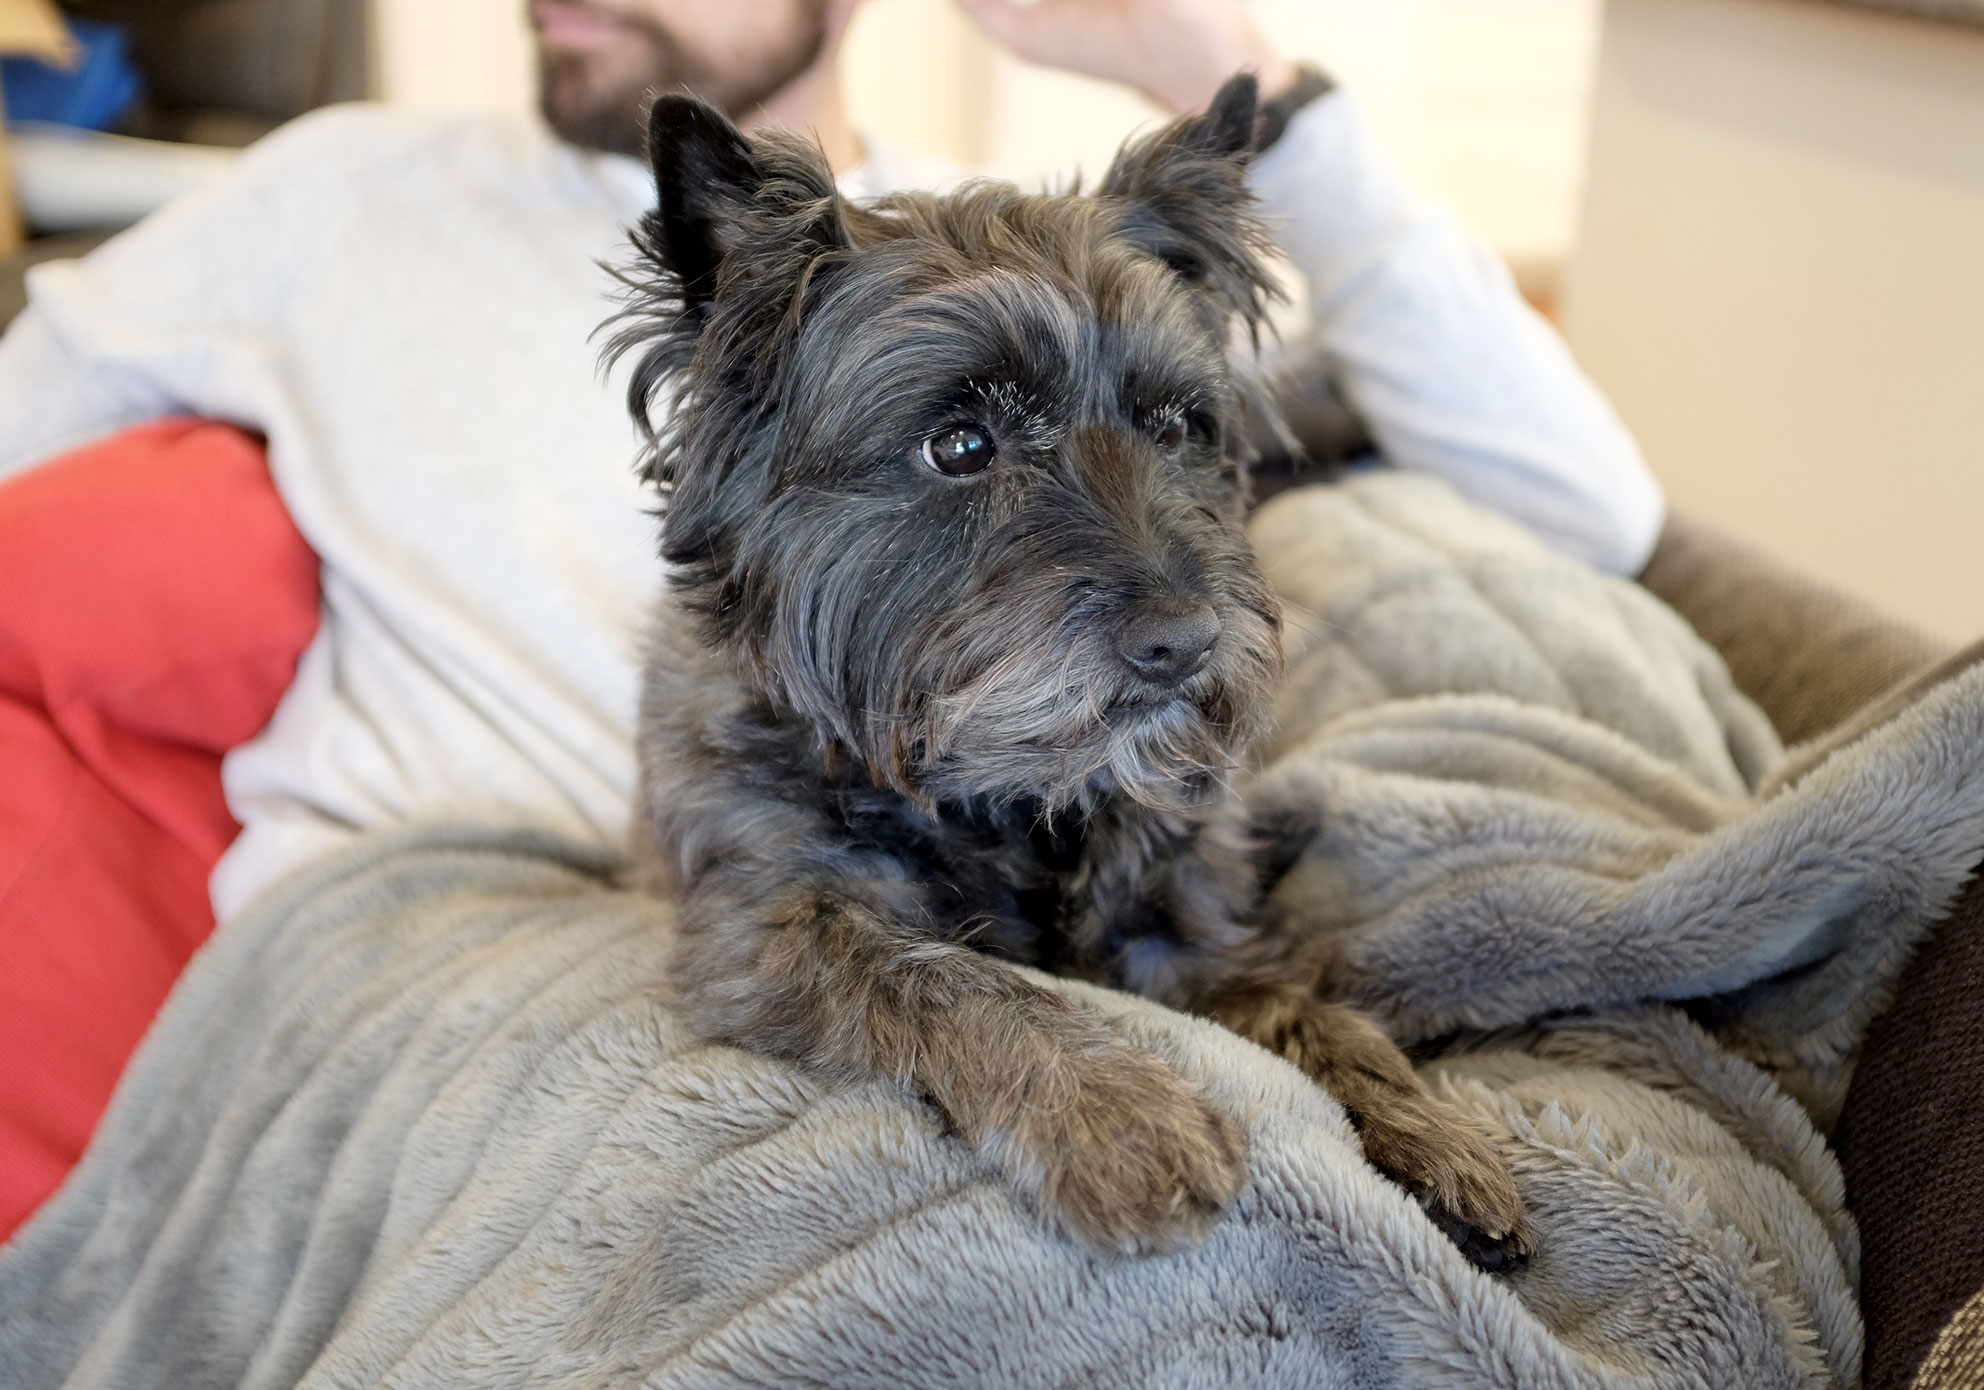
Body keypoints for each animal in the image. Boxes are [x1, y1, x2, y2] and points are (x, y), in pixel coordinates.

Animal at [611, 75, 1523, 1269]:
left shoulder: (1187, 936)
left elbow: (1308, 1013)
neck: (1003, 798)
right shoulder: (769, 928)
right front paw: (1119, 1116)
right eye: (959, 445)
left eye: (1178, 425)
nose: (1185, 640)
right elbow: (954, 978)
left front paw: (1427, 1129)